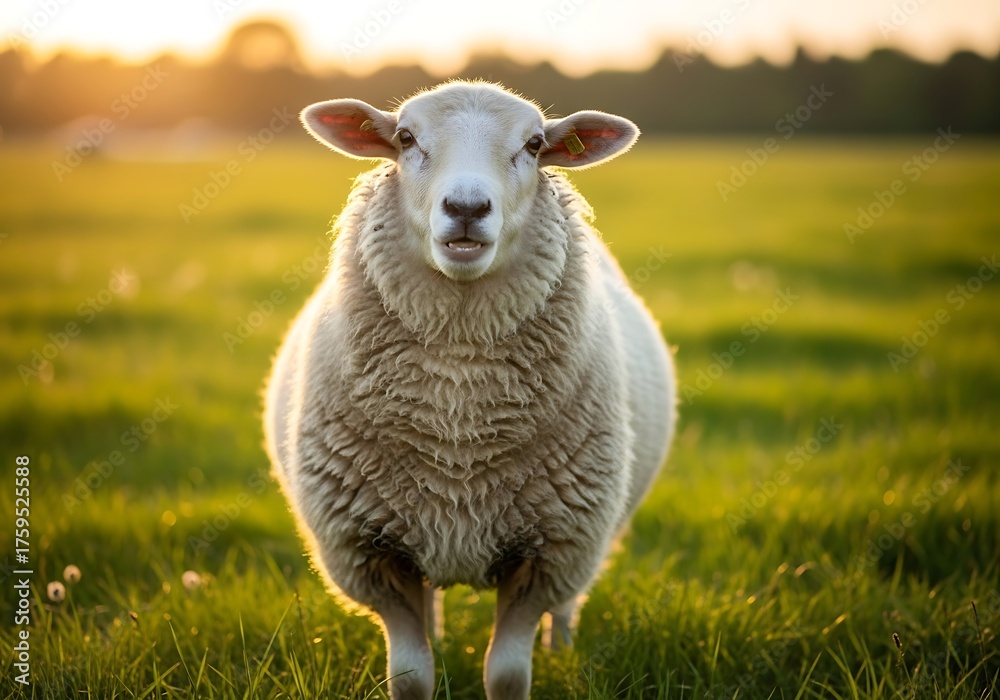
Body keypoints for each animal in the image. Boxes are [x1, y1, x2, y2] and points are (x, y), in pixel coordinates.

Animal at [264, 80, 676, 700]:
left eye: (534, 145)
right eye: (405, 138)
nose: (465, 208)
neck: (458, 414)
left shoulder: (551, 552)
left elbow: (506, 674)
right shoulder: (370, 554)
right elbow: (411, 675)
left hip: (591, 537)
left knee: (570, 603)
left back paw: (564, 650)